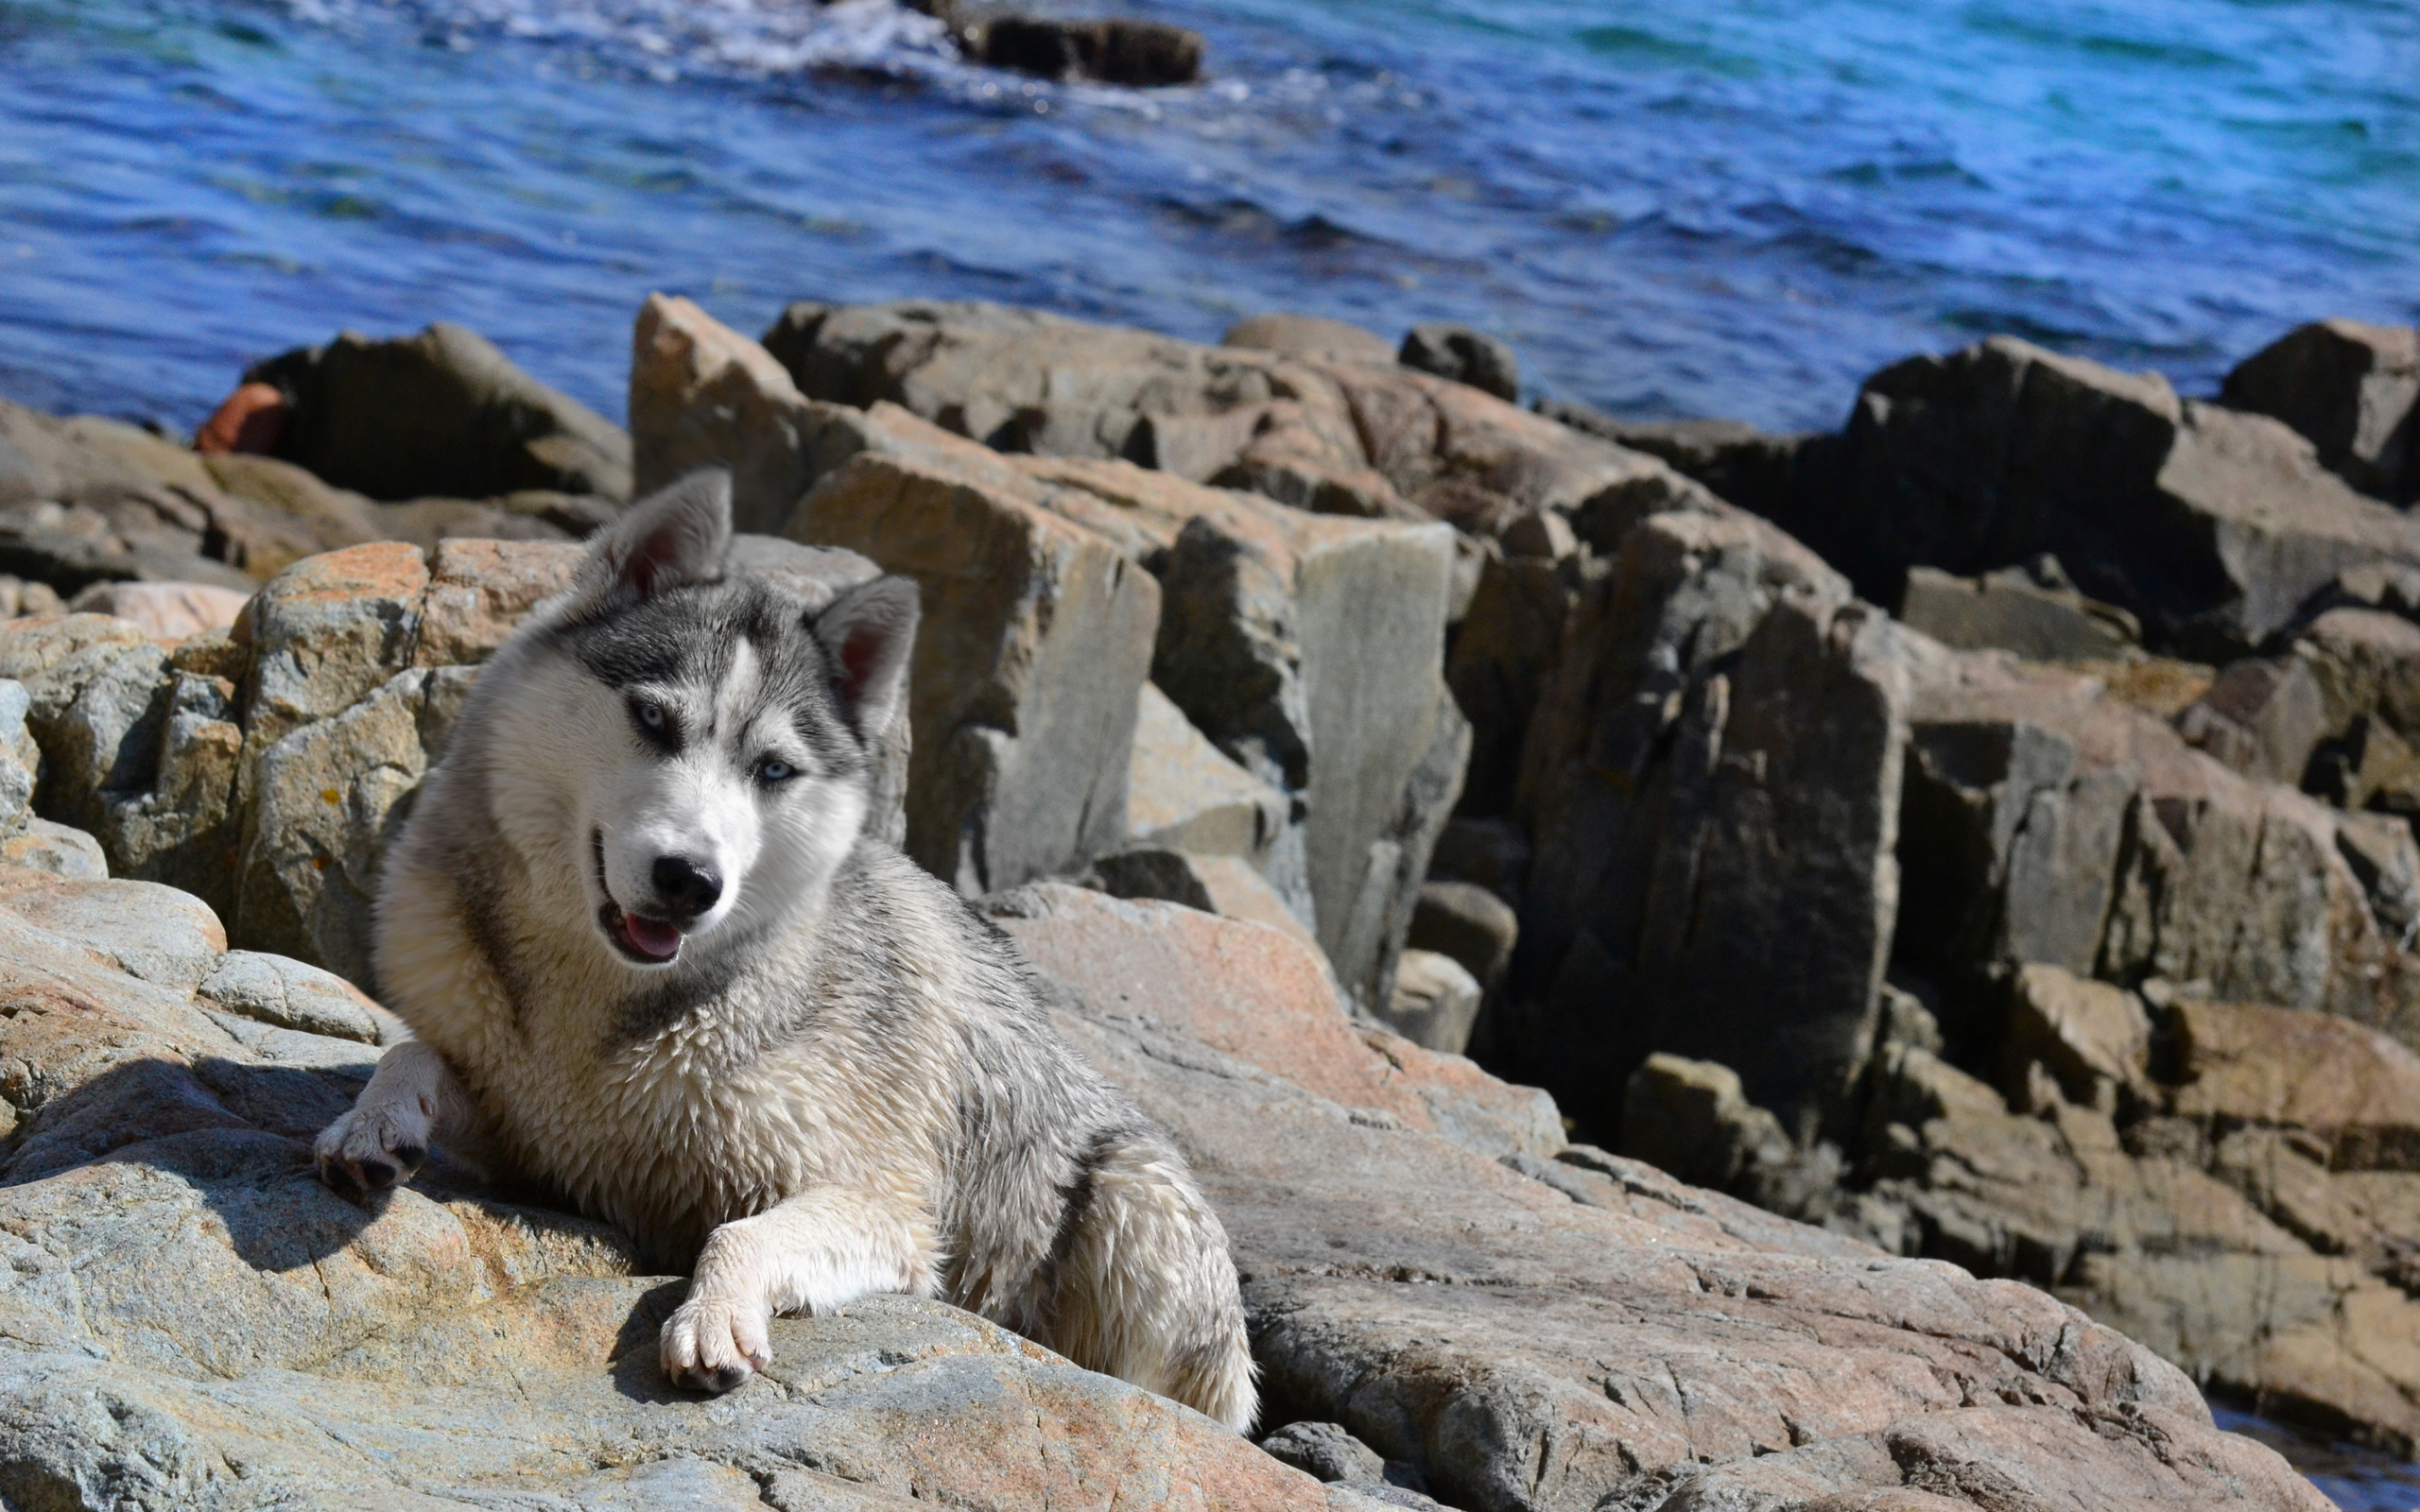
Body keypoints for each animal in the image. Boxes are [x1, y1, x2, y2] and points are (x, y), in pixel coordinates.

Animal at [314, 472, 1258, 1422]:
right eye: (652, 719)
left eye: (772, 770)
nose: (690, 880)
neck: (605, 1000)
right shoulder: (531, 1136)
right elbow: (410, 1053)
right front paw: (372, 1122)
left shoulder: (886, 1207)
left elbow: (740, 1231)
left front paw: (715, 1314)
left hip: (1134, 1199)